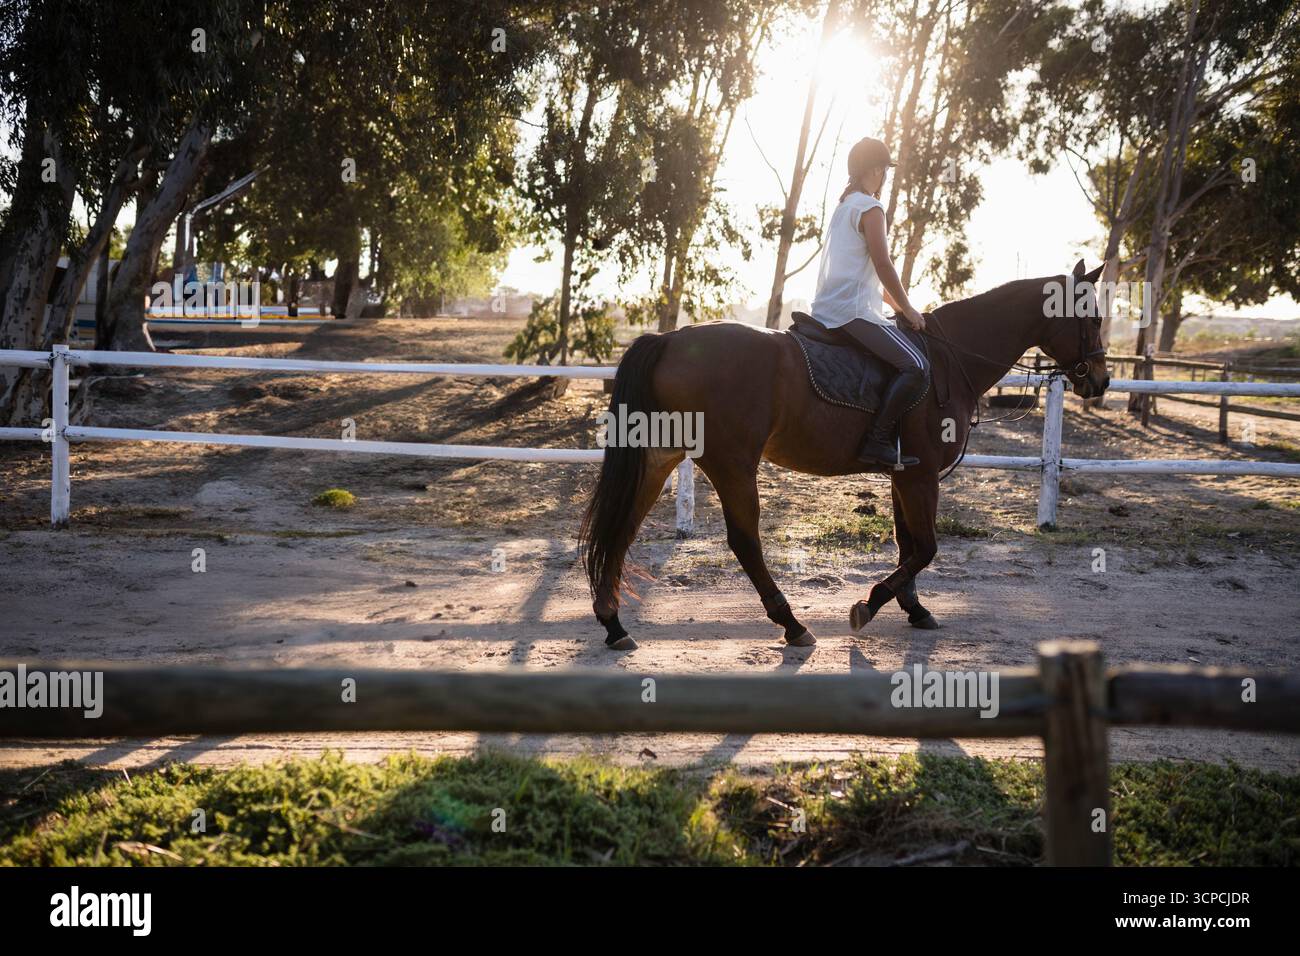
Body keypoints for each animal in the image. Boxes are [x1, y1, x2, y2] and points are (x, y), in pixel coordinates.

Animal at [579, 259, 1110, 650]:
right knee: (744, 542)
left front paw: (914, 608)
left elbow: (907, 544)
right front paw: (870, 605)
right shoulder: (922, 477)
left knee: (622, 529)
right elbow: (927, 548)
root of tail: (669, 339)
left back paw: (613, 623)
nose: (1100, 381)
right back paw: (791, 624)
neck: (948, 360)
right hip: (733, 465)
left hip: (658, 458)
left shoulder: (904, 474)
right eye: (1093, 317)